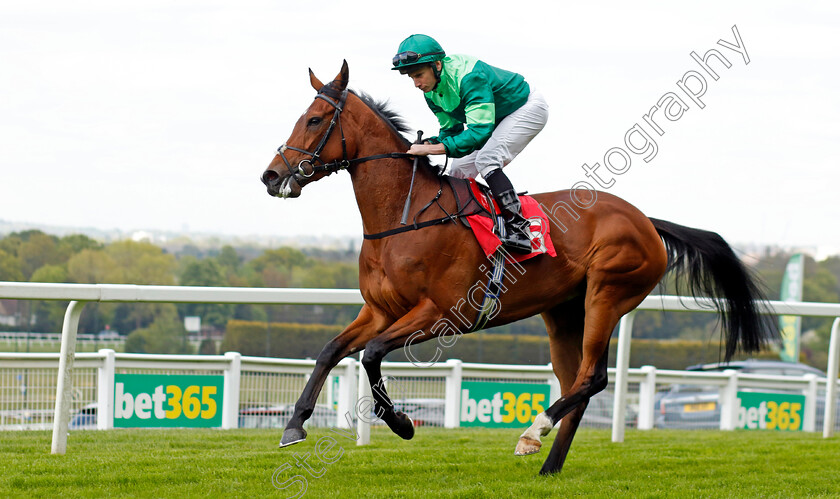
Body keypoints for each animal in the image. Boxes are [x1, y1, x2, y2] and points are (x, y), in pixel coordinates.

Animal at [260, 62, 772, 476]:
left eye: (315, 119)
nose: (271, 175)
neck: (404, 217)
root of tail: (646, 220)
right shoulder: (380, 310)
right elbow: (331, 350)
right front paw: (294, 425)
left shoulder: (442, 313)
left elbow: (371, 355)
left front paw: (402, 423)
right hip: (563, 311)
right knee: (577, 381)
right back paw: (549, 465)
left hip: (607, 294)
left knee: (593, 378)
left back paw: (533, 432)